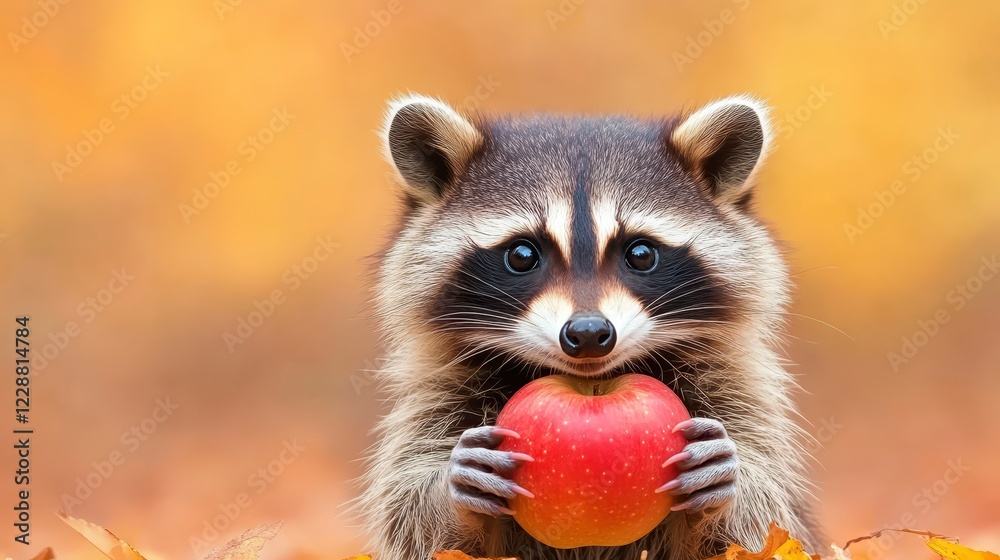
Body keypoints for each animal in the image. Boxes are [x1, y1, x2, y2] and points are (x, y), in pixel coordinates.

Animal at [357, 93, 823, 560]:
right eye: (522, 255)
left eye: (640, 253)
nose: (587, 335)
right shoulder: (441, 387)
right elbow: (413, 513)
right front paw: (449, 493)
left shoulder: (731, 384)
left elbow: (759, 520)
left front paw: (729, 488)